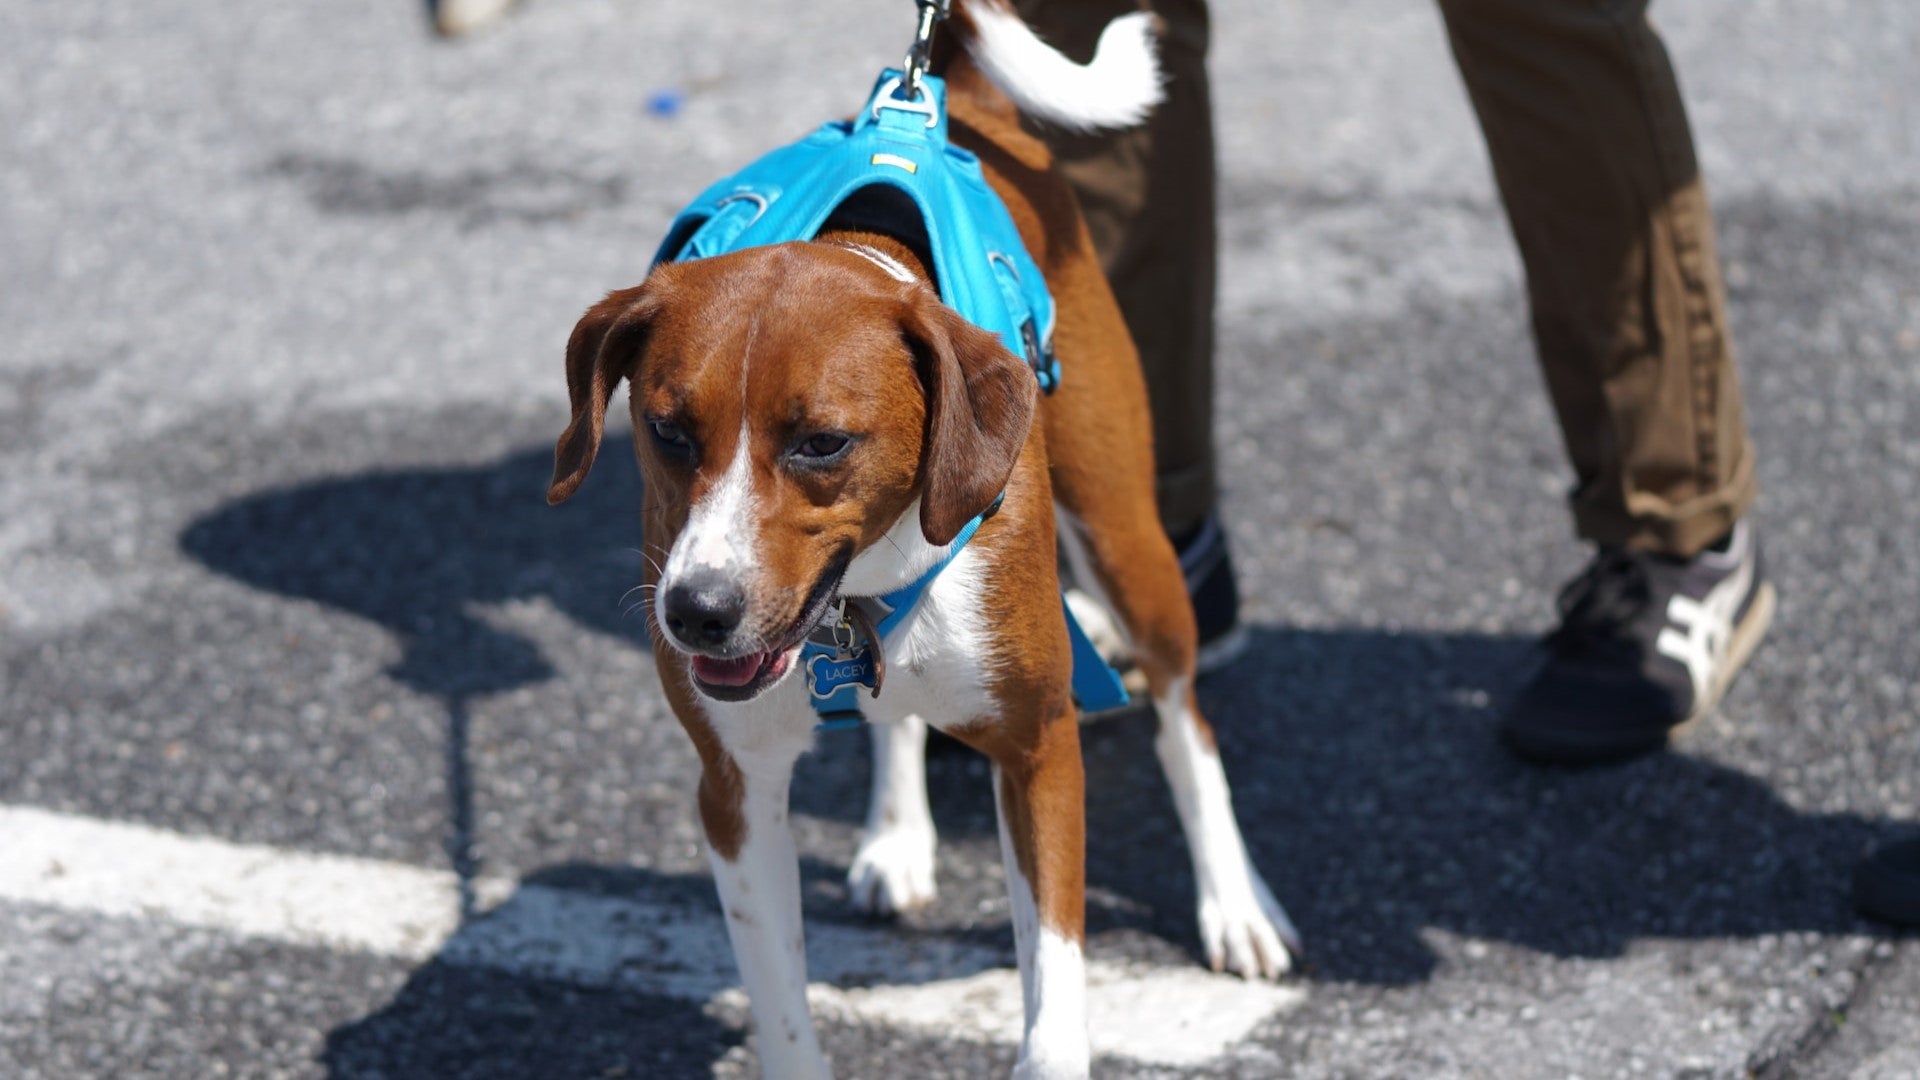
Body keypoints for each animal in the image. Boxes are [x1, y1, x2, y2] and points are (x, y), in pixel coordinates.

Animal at [556, 4, 1297, 1068]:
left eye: (823, 442)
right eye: (667, 432)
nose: (697, 613)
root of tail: (947, 103)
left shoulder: (1039, 747)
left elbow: (1054, 1022)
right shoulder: (734, 791)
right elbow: (784, 1018)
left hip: (1130, 542)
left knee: (1183, 718)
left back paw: (1235, 903)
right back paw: (897, 833)